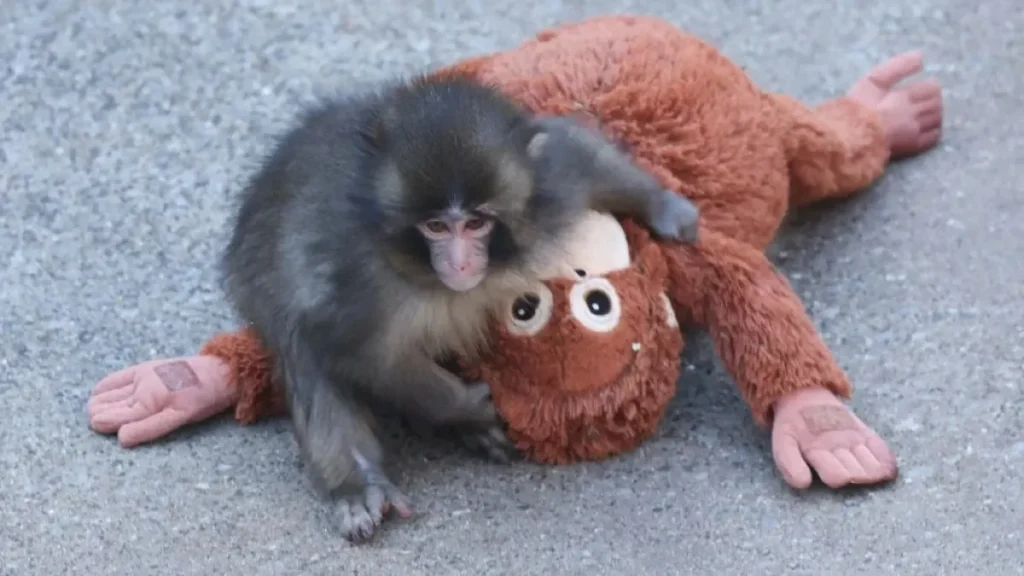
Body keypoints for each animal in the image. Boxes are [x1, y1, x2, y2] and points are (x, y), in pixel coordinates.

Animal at [219, 74, 700, 543]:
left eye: (475, 223)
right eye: (435, 226)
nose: (461, 262)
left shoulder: (548, 187)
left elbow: (575, 152)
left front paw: (665, 207)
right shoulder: (356, 281)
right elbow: (360, 353)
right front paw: (468, 406)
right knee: (302, 348)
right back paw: (359, 484)